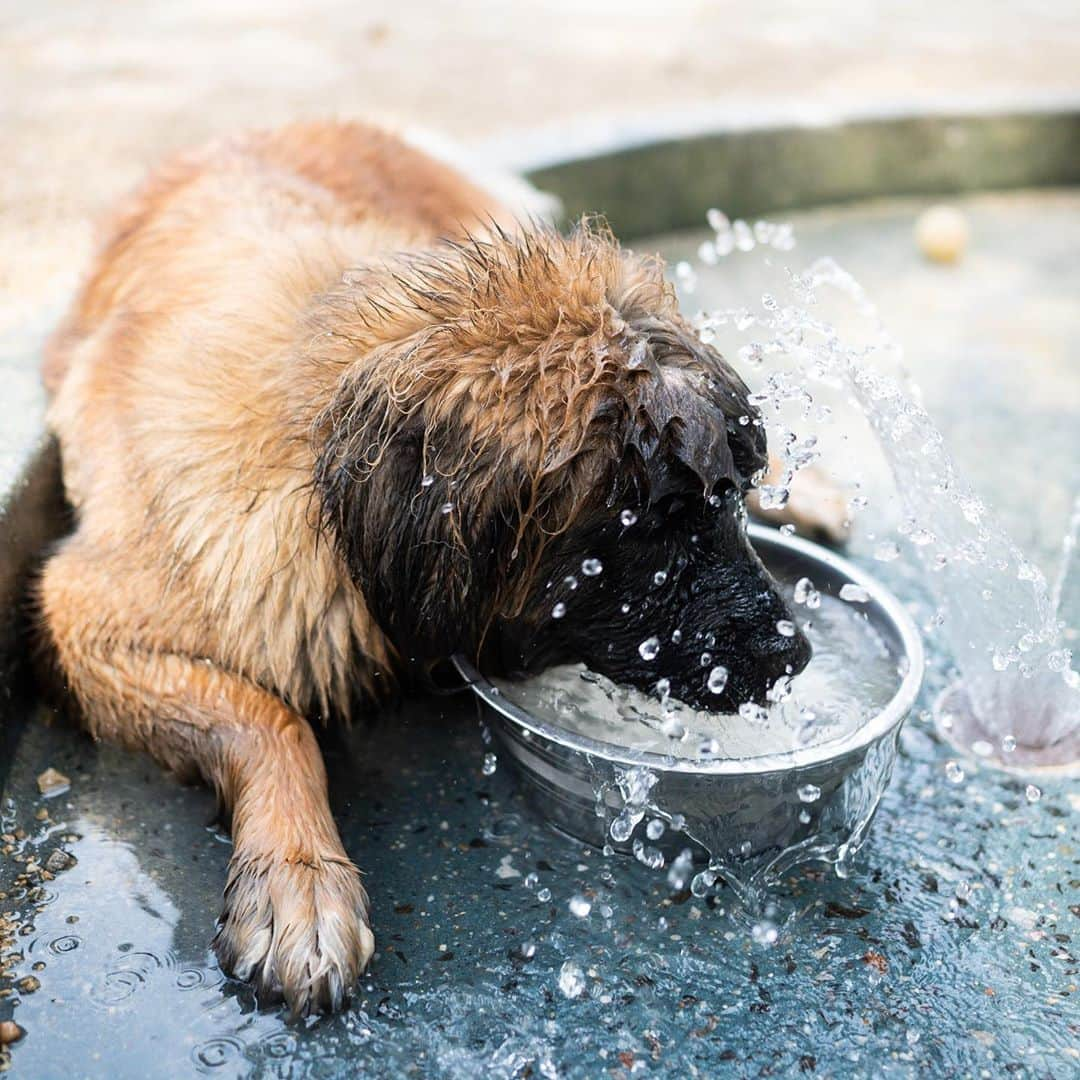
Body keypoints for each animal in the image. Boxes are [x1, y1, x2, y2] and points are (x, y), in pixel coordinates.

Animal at [35, 122, 812, 1015]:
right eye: (652, 526)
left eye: (729, 499)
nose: (795, 653)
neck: (319, 449)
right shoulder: (87, 617)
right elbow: (269, 718)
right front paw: (300, 879)